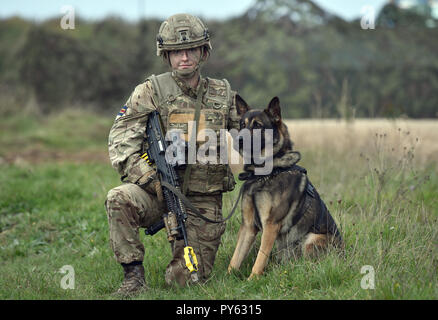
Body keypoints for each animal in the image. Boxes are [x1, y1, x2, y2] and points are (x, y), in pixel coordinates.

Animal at [228, 94, 344, 278]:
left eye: (258, 125)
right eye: (242, 125)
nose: (238, 141)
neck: (263, 175)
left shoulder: (270, 225)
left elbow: (260, 258)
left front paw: (252, 279)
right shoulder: (248, 226)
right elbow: (235, 259)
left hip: (312, 239)